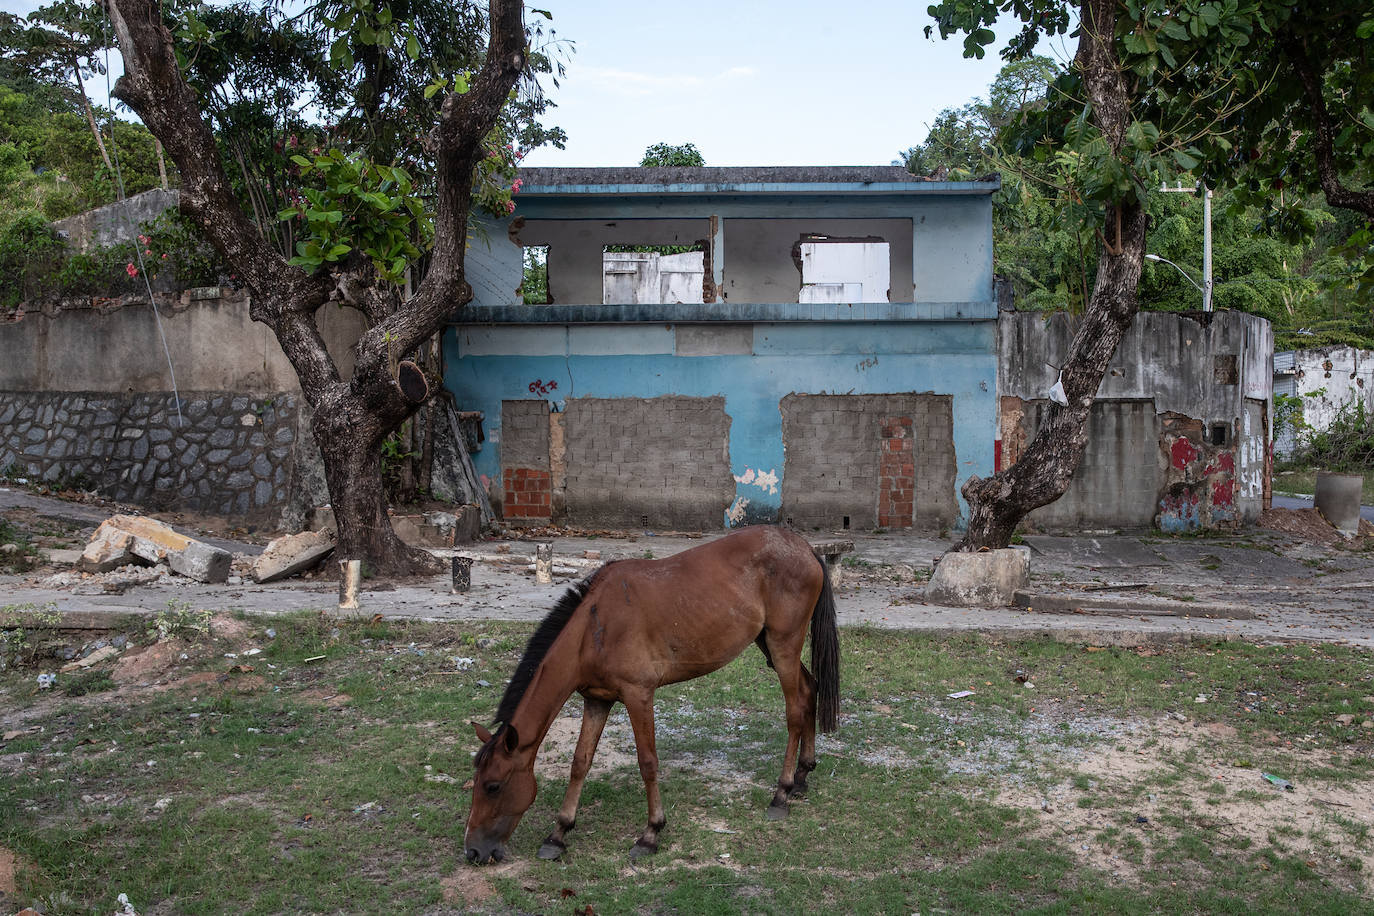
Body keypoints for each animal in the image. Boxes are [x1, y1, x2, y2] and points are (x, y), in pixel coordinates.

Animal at [461, 527, 835, 862]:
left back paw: (781, 793)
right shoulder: (597, 700)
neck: (594, 628)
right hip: (768, 644)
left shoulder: (638, 695)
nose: (474, 852)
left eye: (493, 786)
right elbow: (580, 762)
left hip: (783, 644)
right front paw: (558, 834)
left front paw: (651, 834)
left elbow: (648, 762)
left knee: (795, 710)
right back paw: (802, 777)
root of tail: (805, 547)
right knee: (809, 689)